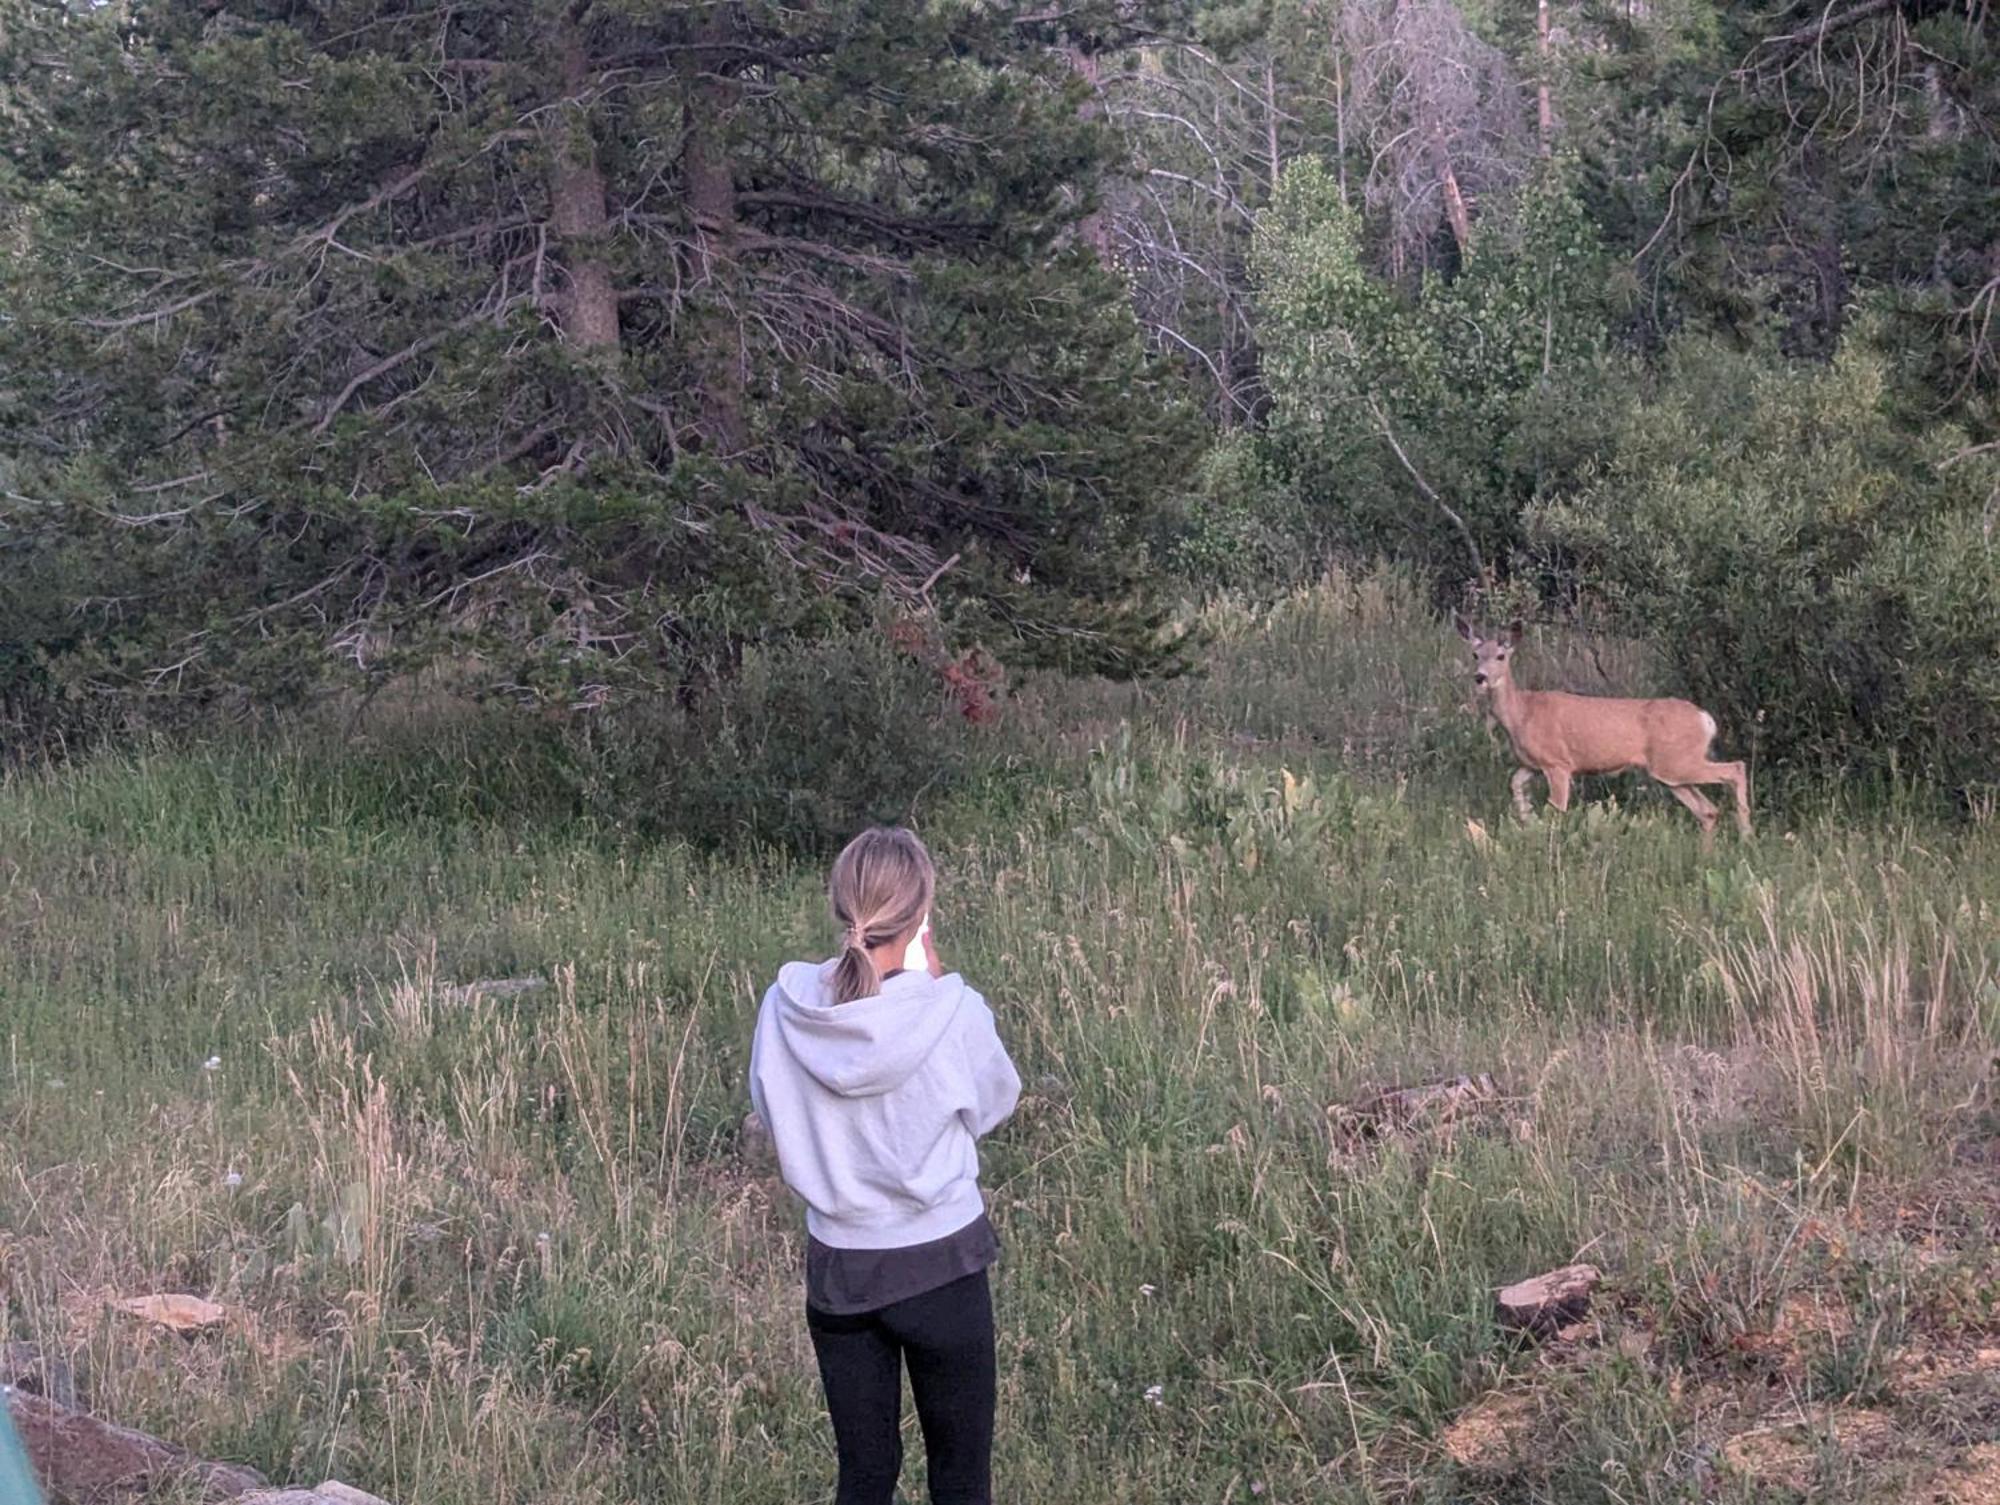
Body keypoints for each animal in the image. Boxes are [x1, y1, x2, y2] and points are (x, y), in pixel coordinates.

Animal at [1456, 616, 1752, 840]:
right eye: (1474, 654)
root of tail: (1706, 719)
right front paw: (1526, 820)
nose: (1480, 677)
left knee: (1736, 769)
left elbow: (1557, 808)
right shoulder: (1532, 764)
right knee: (1708, 810)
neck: (1522, 714)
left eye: (1501, 656)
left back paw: (1747, 836)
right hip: (1670, 771)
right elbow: (1515, 783)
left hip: (1677, 763)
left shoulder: (1558, 763)